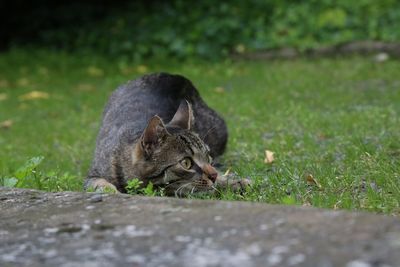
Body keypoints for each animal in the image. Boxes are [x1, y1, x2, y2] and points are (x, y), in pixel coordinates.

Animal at [85, 73, 248, 197]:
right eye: (186, 163)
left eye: (207, 156)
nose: (213, 175)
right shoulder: (92, 175)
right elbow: (98, 183)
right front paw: (108, 190)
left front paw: (231, 182)